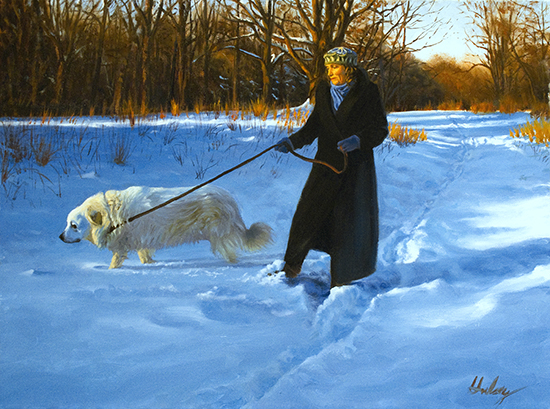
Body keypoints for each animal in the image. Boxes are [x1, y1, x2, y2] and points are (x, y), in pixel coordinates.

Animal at [60, 185, 274, 268]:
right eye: (67, 224)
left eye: (74, 225)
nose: (60, 237)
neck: (112, 216)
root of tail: (229, 201)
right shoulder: (142, 240)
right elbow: (144, 255)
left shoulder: (121, 247)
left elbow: (115, 262)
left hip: (219, 235)